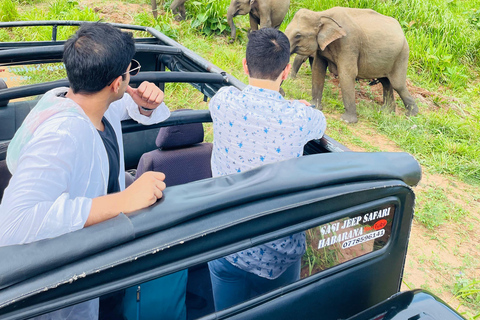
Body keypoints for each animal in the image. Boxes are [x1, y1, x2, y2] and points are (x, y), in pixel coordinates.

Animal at [284, 7, 416, 122]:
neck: (322, 14)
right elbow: (318, 69)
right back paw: (386, 111)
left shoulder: (348, 43)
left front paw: (347, 120)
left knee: (398, 84)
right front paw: (314, 106)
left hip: (402, 55)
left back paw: (411, 115)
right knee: (386, 82)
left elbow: (347, 74)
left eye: (298, 35)